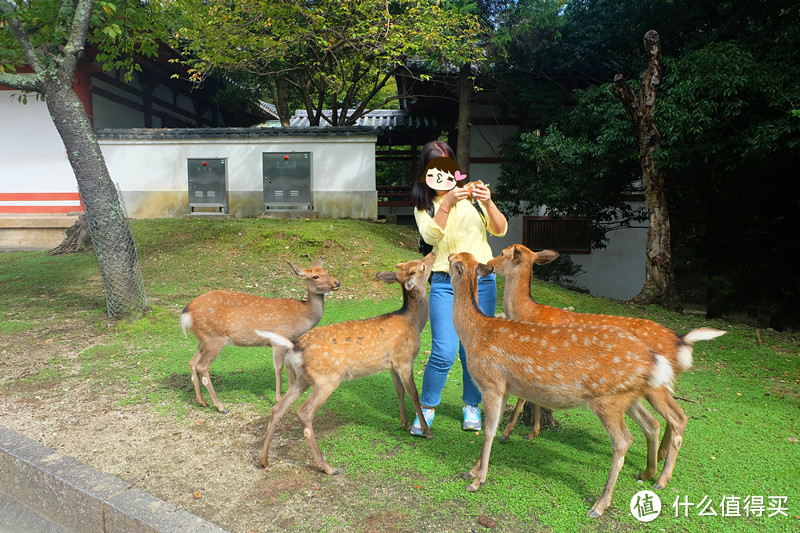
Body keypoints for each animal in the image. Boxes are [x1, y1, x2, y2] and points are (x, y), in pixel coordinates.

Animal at [180, 258, 340, 412]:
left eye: (327, 271)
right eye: (315, 276)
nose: (337, 282)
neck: (302, 315)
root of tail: (186, 313)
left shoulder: (290, 341)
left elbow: (290, 366)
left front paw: (291, 390)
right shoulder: (277, 340)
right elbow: (279, 368)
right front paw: (278, 398)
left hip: (203, 339)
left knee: (192, 362)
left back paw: (202, 401)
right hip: (214, 337)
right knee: (202, 366)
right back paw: (220, 406)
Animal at [255, 252, 434, 474]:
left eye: (413, 263)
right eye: (422, 266)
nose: (433, 253)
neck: (413, 322)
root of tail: (295, 345)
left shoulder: (391, 364)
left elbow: (400, 391)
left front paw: (405, 424)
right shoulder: (405, 358)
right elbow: (414, 394)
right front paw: (426, 431)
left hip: (303, 378)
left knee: (278, 408)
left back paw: (264, 460)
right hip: (327, 379)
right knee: (304, 412)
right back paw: (326, 466)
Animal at [450, 251, 708, 516]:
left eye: (503, 253)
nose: (490, 263)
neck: (476, 332)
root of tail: (679, 344)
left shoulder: (492, 382)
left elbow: (490, 430)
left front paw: (477, 479)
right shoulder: (506, 387)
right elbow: (497, 423)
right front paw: (474, 469)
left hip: (611, 399)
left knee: (633, 436)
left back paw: (605, 503)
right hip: (629, 396)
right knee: (653, 423)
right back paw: (648, 472)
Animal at [488, 243, 724, 460]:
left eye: (502, 252)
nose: (489, 264)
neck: (528, 313)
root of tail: (681, 341)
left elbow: (523, 397)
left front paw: (507, 433)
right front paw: (532, 432)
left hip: (656, 385)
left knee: (677, 416)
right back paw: (658, 458)